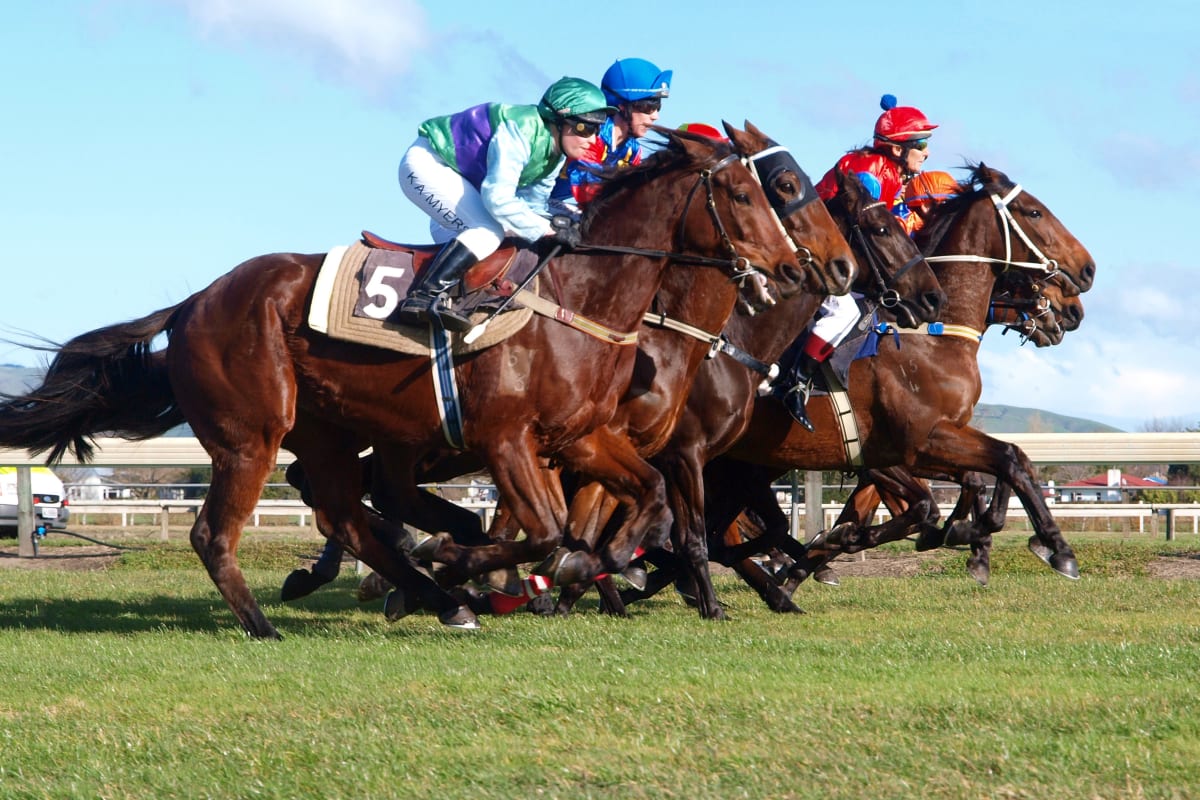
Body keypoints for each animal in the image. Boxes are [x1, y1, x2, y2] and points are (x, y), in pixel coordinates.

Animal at [0, 131, 811, 638]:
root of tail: (194, 302)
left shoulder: (584, 435)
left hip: (328, 431)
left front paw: (571, 567)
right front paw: (465, 559)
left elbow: (643, 506)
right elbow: (546, 528)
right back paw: (273, 622)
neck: (584, 298)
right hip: (253, 431)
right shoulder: (508, 440)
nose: (796, 267)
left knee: (344, 511)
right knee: (219, 531)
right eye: (745, 196)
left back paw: (436, 596)